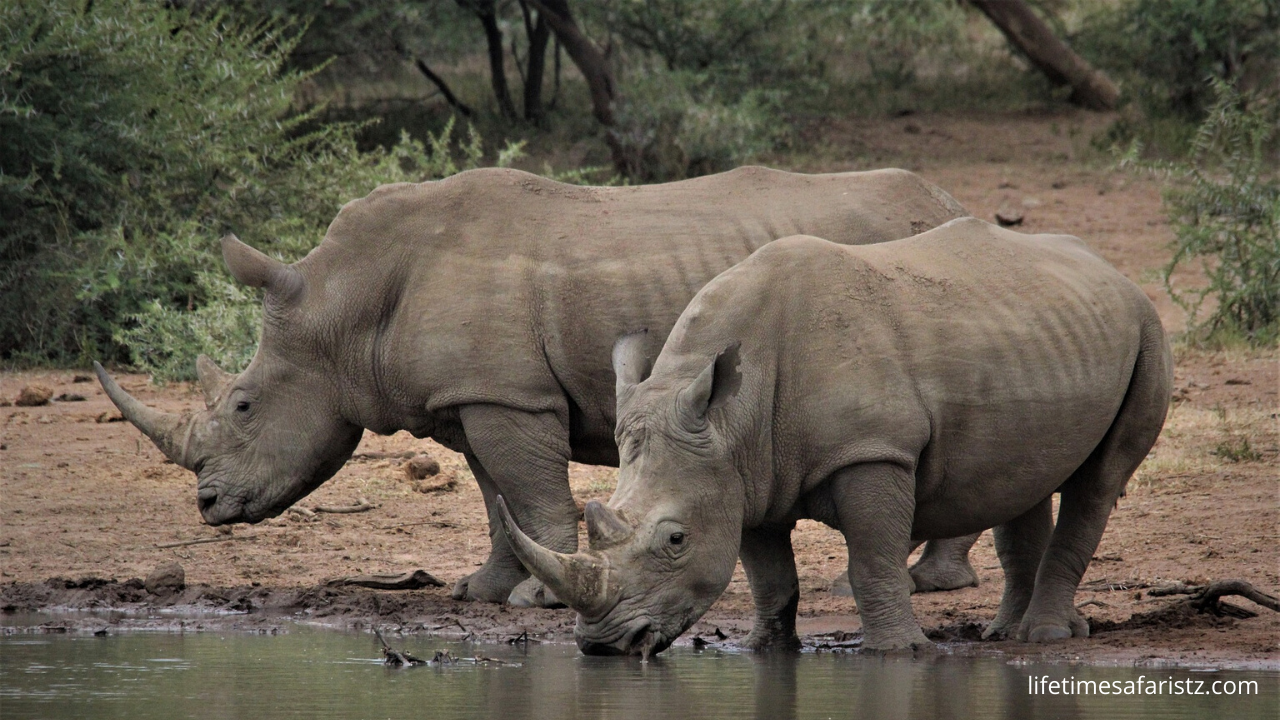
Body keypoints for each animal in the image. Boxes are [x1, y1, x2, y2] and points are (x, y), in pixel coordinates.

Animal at [94, 165, 973, 607]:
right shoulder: (472, 395)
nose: (208, 506)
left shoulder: (507, 395)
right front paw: (482, 591)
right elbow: (496, 496)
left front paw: (539, 602)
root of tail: (948, 198)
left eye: (244, 406)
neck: (344, 302)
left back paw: (925, 582)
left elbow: (529, 488)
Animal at [499, 217, 1173, 653]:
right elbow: (769, 573)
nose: (602, 645)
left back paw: (1044, 636)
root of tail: (1110, 270)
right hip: (1040, 332)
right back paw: (1007, 635)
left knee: (1100, 481)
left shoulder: (872, 452)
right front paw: (766, 650)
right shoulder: (744, 472)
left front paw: (897, 653)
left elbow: (872, 556)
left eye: (675, 540)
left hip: (1147, 326)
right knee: (1022, 478)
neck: (730, 418)